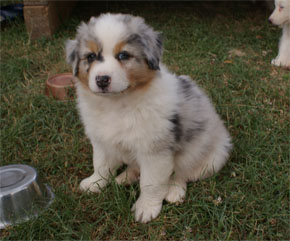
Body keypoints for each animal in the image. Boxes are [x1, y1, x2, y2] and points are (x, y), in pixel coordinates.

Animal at [65, 13, 231, 223]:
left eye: (123, 55)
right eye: (91, 56)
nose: (102, 80)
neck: (117, 104)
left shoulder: (154, 152)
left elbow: (150, 183)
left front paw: (146, 208)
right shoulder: (101, 140)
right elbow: (101, 164)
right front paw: (95, 183)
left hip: (212, 157)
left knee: (183, 173)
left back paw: (174, 191)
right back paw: (125, 178)